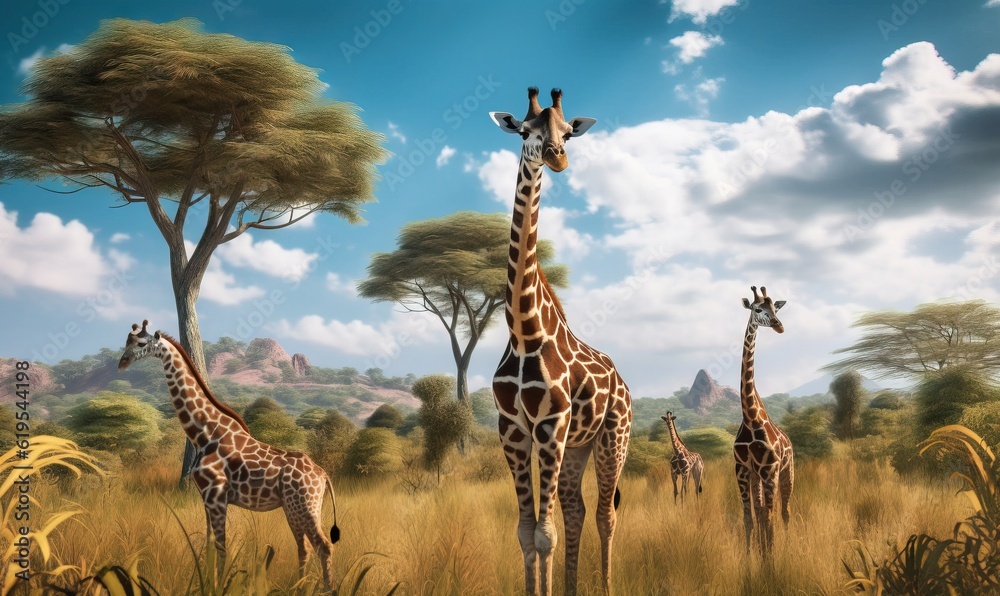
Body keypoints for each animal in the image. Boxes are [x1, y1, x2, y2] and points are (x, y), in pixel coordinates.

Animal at [117, 321, 340, 586]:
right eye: (126, 342)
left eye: (141, 343)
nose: (122, 362)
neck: (204, 433)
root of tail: (323, 475)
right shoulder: (206, 497)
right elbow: (209, 545)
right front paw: (207, 583)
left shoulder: (216, 494)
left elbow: (222, 548)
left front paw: (219, 585)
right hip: (296, 507)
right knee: (304, 547)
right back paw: (298, 586)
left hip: (304, 506)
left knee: (324, 545)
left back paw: (326, 589)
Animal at [490, 87, 632, 596]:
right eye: (524, 131)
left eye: (568, 132)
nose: (557, 157)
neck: (524, 332)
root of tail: (623, 381)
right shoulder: (513, 429)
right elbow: (526, 532)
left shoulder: (550, 425)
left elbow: (543, 534)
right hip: (577, 447)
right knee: (577, 510)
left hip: (613, 437)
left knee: (606, 514)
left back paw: (607, 586)